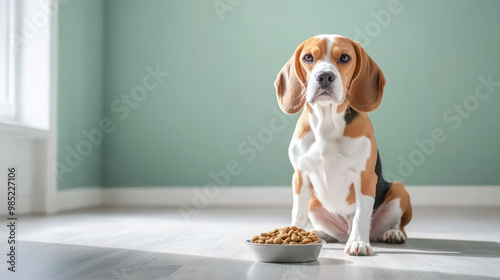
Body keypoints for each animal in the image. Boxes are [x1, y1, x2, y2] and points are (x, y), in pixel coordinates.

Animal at [276, 34, 412, 256]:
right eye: (308, 57)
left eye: (345, 58)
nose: (324, 77)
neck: (327, 122)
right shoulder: (300, 176)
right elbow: (297, 212)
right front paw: (293, 233)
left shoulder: (366, 178)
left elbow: (361, 215)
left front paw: (359, 242)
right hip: (314, 202)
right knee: (334, 234)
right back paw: (319, 233)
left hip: (400, 190)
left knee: (393, 225)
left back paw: (393, 233)